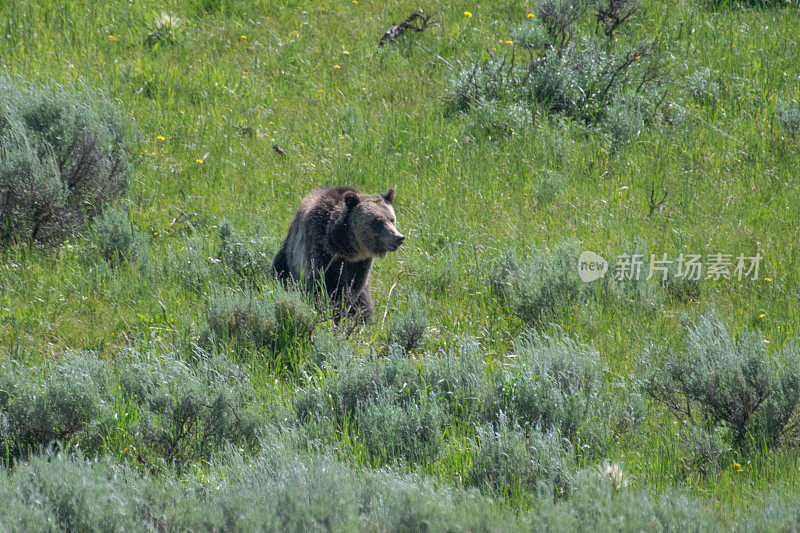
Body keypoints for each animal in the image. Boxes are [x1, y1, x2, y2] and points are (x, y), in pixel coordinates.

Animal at [270, 187, 406, 320]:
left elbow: (356, 287)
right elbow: (328, 284)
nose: (398, 237)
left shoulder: (360, 262)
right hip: (290, 256)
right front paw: (333, 308)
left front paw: (353, 313)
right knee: (281, 271)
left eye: (392, 219)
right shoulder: (324, 251)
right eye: (378, 221)